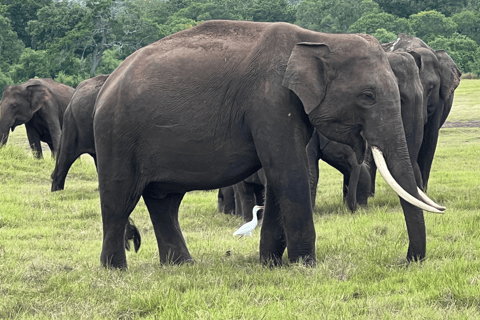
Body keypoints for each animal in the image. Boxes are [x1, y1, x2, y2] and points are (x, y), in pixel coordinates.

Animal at [92, 20, 444, 268]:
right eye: (367, 96)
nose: (407, 260)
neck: (319, 38)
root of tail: (108, 83)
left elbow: (279, 176)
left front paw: (271, 263)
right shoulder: (270, 101)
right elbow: (289, 172)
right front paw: (305, 264)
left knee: (164, 200)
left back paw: (182, 265)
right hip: (116, 136)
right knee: (120, 199)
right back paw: (115, 269)